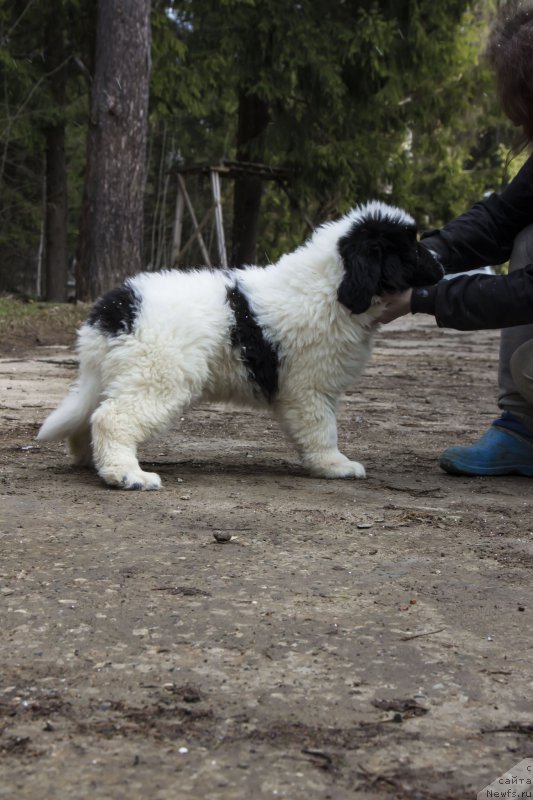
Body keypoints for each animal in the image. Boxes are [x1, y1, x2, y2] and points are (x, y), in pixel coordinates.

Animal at [38, 200, 440, 488]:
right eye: (412, 249)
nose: (439, 260)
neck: (333, 286)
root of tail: (116, 306)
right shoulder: (309, 386)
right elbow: (322, 428)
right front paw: (335, 465)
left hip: (122, 373)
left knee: (90, 416)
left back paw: (92, 460)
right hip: (159, 375)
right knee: (111, 418)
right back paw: (126, 474)